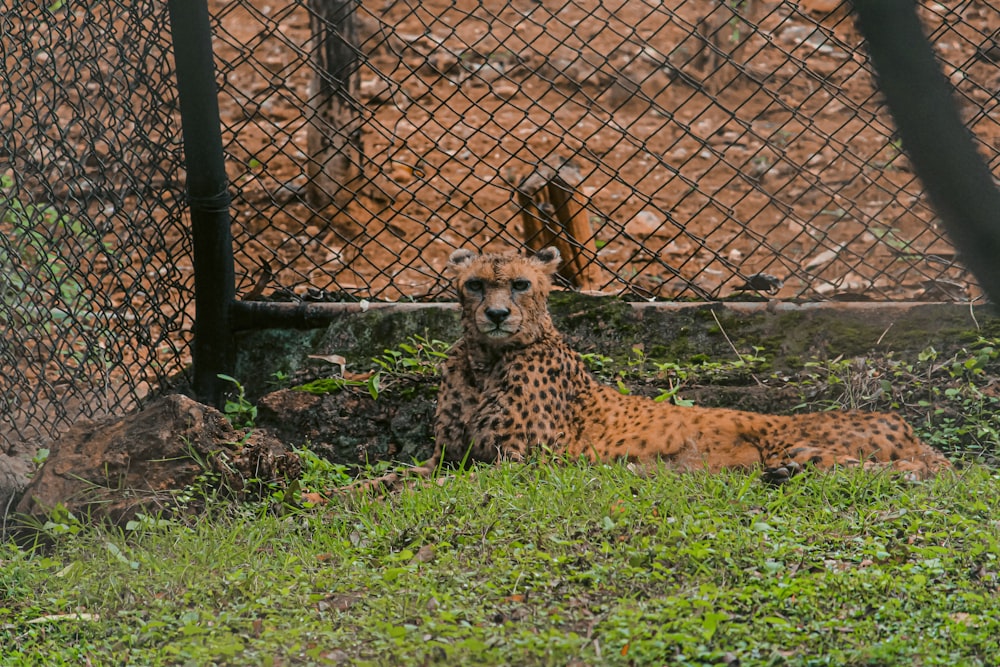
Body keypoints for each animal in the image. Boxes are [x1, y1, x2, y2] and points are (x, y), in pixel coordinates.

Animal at [358, 247, 944, 490]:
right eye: (476, 284)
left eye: (520, 284)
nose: (497, 315)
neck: (486, 359)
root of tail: (907, 424)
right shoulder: (450, 456)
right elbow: (389, 478)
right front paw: (337, 496)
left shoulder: (520, 464)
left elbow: (429, 489)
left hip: (796, 440)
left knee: (909, 472)